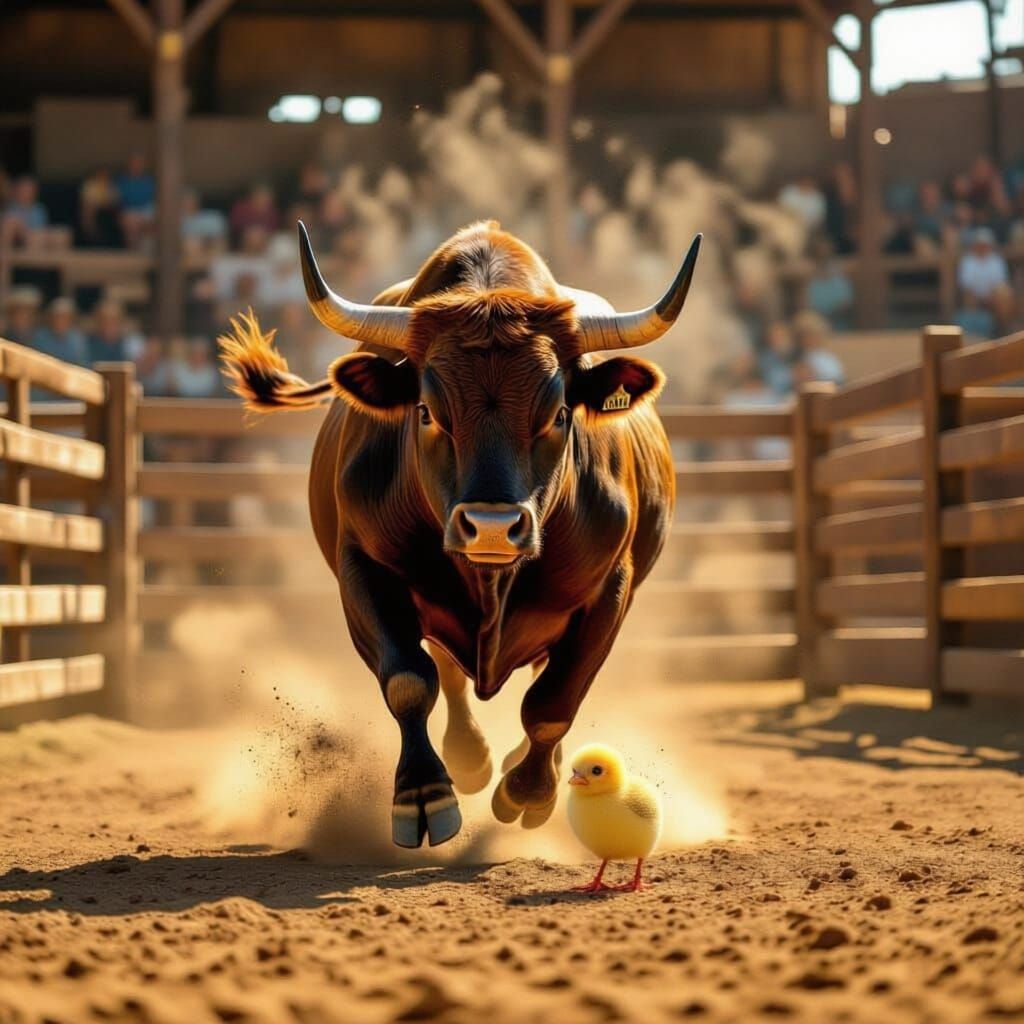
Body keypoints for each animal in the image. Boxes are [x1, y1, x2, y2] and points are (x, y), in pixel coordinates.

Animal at [219, 220, 700, 849]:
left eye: (560, 413)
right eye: (426, 411)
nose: (492, 527)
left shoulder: (610, 589)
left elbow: (554, 702)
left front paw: (529, 792)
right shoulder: (363, 569)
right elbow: (408, 680)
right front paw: (424, 794)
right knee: (447, 671)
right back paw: (468, 758)